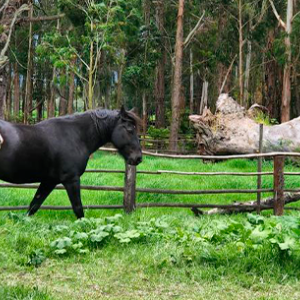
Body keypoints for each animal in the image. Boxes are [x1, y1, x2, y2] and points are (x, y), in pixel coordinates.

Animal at [0, 107, 142, 218]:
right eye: (129, 129)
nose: (138, 158)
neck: (76, 135)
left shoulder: (49, 181)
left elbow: (34, 205)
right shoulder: (71, 179)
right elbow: (78, 208)